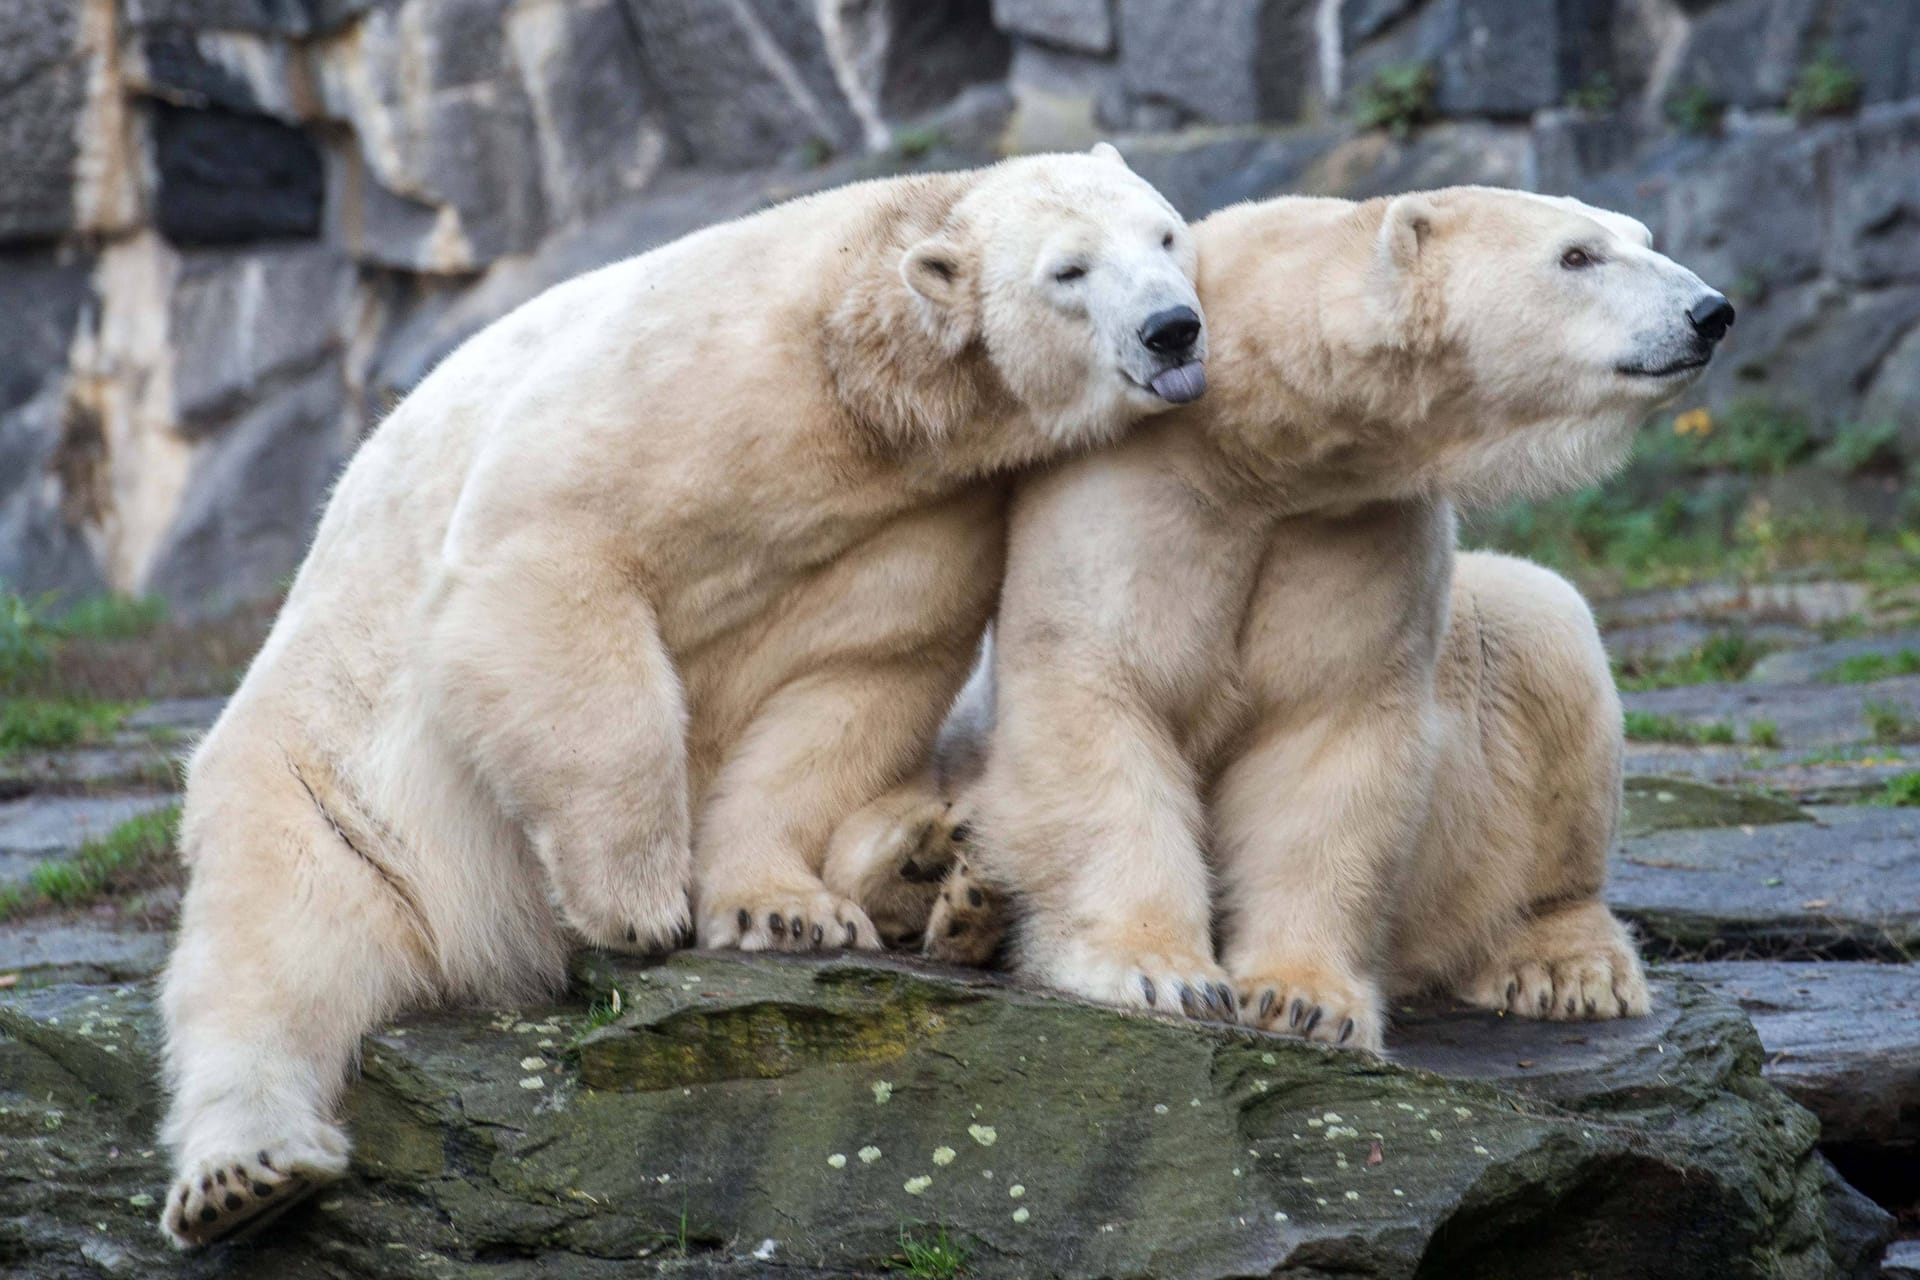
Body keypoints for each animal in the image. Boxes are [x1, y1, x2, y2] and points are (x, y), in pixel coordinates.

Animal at [157, 144, 1205, 1243]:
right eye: (1069, 270)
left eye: (1167, 234)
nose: (1174, 327)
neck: (858, 381)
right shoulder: (688, 383)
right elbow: (549, 563)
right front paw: (640, 902)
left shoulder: (920, 508)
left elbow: (852, 679)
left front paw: (787, 913)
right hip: (326, 776)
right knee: (275, 942)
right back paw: (245, 1173)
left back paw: (941, 861)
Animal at [837, 189, 1728, 1051]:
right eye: (1577, 254)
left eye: (1641, 236)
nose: (1711, 311)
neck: (1255, 452)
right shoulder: (1126, 496)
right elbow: (1103, 694)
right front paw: (1159, 973)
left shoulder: (1357, 531)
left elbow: (1327, 732)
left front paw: (1303, 1001)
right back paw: (952, 883)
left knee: (1547, 628)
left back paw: (1567, 965)